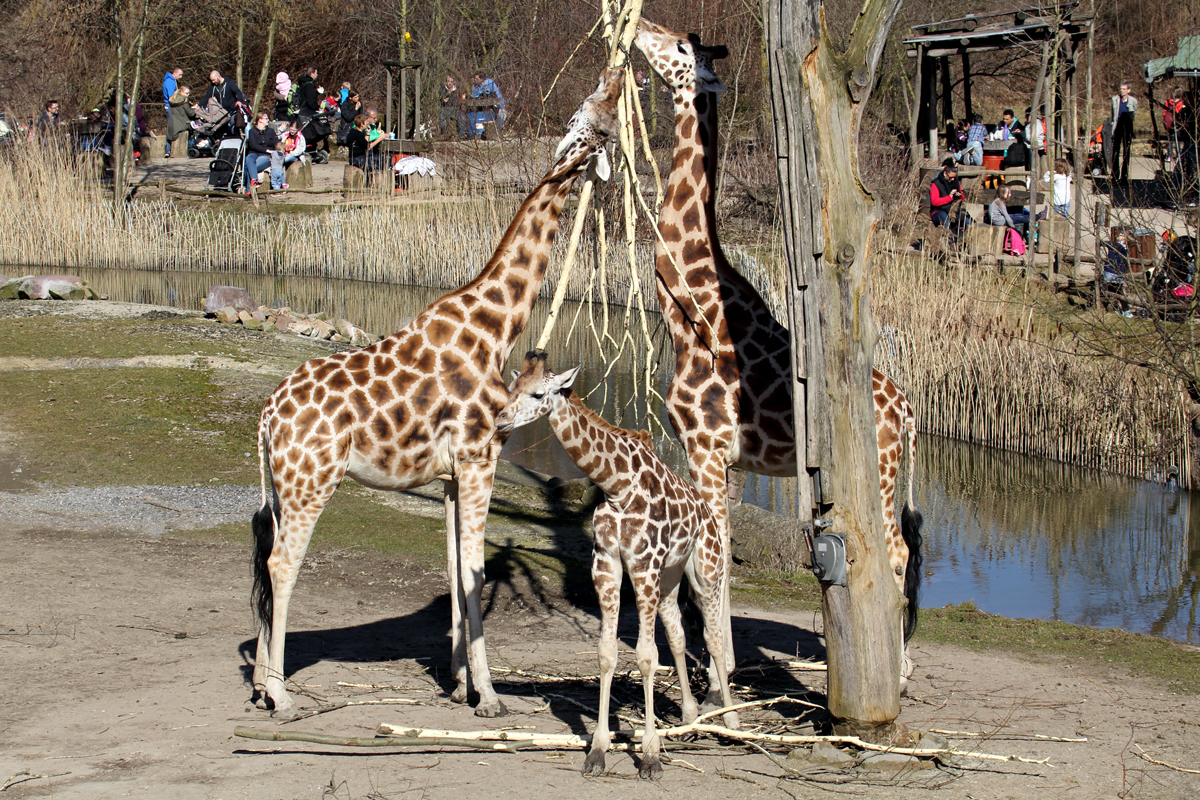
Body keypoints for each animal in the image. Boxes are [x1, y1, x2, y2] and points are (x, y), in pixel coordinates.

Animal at [496, 352, 739, 777]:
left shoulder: (642, 563)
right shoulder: (607, 564)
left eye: (538, 393)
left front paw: (651, 756)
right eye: (511, 387)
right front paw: (597, 750)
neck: (616, 485)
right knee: (678, 631)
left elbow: (645, 656)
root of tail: (707, 514)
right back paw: (690, 717)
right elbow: (607, 653)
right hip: (670, 576)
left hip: (705, 569)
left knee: (712, 636)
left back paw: (729, 720)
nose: (500, 420)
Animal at [633, 21, 921, 690]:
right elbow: (710, 564)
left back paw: (895, 675)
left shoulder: (707, 448)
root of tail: (909, 411)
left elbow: (713, 560)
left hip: (879, 470)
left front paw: (719, 680)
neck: (688, 310)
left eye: (679, 49)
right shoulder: (725, 460)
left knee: (895, 550)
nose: (636, 30)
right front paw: (720, 666)